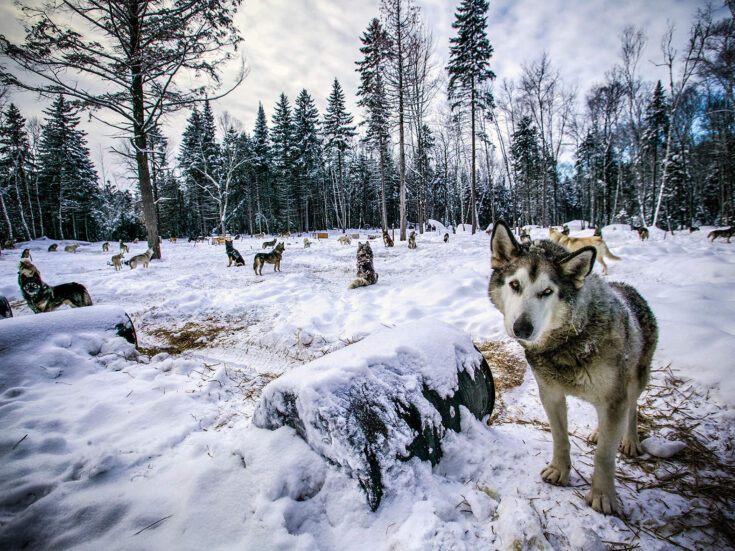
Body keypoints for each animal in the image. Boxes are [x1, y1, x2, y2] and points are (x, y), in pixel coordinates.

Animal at [488, 221, 657, 515]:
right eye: (515, 284)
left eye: (547, 291)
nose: (522, 328)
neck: (570, 341)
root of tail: (628, 288)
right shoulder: (550, 394)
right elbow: (560, 437)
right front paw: (559, 470)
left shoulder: (615, 399)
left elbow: (604, 456)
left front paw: (603, 496)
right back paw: (600, 432)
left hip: (636, 380)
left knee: (633, 408)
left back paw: (630, 441)